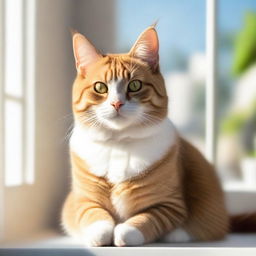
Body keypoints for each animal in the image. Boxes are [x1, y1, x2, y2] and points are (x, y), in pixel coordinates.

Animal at [61, 25, 256, 246]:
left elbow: (146, 219)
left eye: (134, 85)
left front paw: (124, 232)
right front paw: (99, 233)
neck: (119, 144)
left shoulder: (171, 205)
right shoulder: (81, 199)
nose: (117, 103)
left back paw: (177, 234)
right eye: (100, 87)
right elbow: (94, 216)